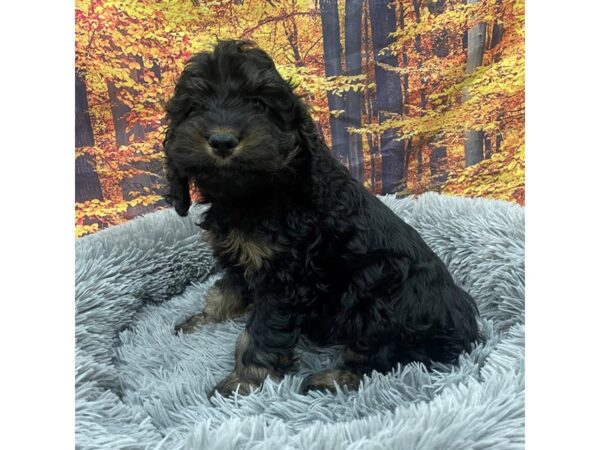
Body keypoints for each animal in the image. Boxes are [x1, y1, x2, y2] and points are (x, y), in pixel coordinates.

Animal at [163, 40, 478, 396]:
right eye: (195, 108)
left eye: (258, 104)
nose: (222, 140)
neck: (255, 194)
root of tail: (466, 323)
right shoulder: (244, 259)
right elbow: (225, 290)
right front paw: (203, 318)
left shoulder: (284, 278)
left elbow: (261, 332)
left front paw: (244, 381)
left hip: (385, 297)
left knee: (387, 360)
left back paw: (332, 379)